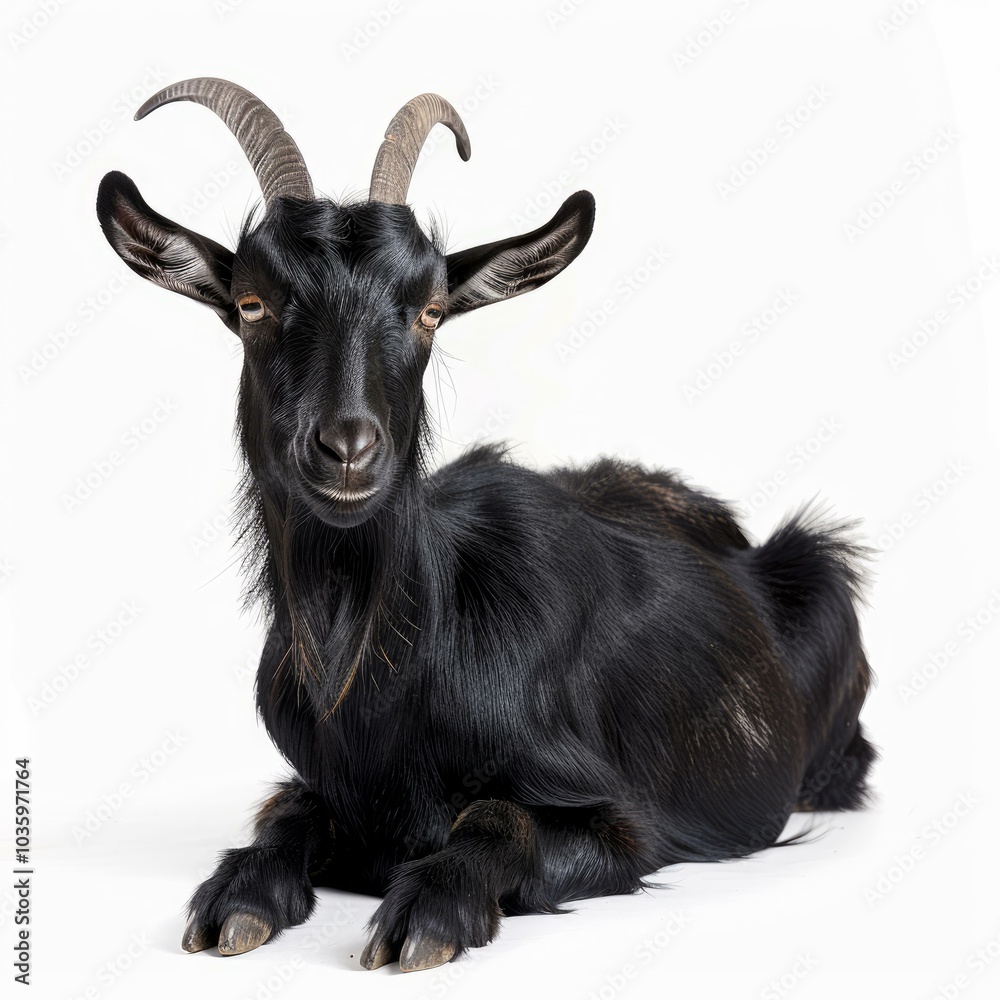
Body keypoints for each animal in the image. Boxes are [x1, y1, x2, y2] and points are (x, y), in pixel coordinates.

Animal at [96, 78, 876, 973]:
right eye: (253, 303)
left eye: (431, 311)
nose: (348, 449)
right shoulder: (316, 781)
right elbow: (286, 814)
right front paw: (239, 897)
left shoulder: (622, 821)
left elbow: (501, 819)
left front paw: (429, 913)